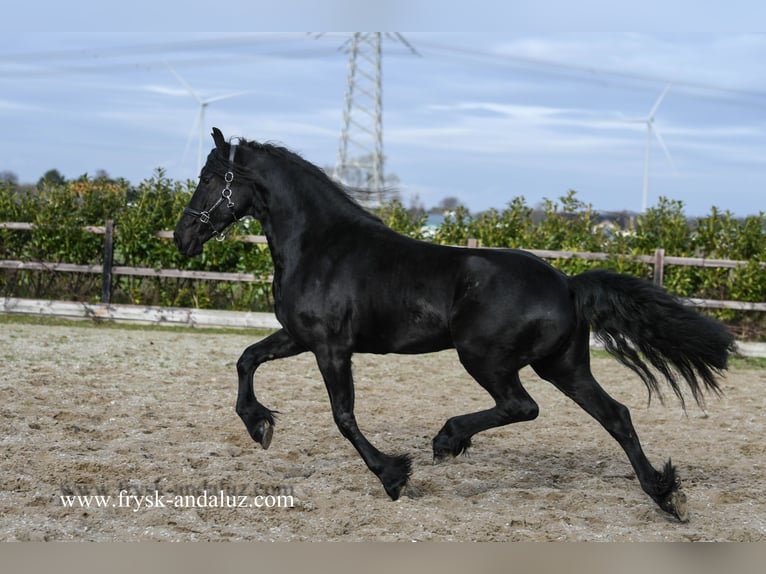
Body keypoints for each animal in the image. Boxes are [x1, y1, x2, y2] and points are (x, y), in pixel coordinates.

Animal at [176, 128, 736, 524]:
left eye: (210, 179)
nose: (183, 237)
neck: (321, 246)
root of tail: (567, 283)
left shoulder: (331, 348)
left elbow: (343, 416)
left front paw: (394, 475)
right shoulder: (299, 337)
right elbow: (246, 359)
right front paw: (259, 425)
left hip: (484, 358)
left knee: (522, 406)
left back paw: (448, 440)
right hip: (563, 366)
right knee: (615, 415)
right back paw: (665, 496)